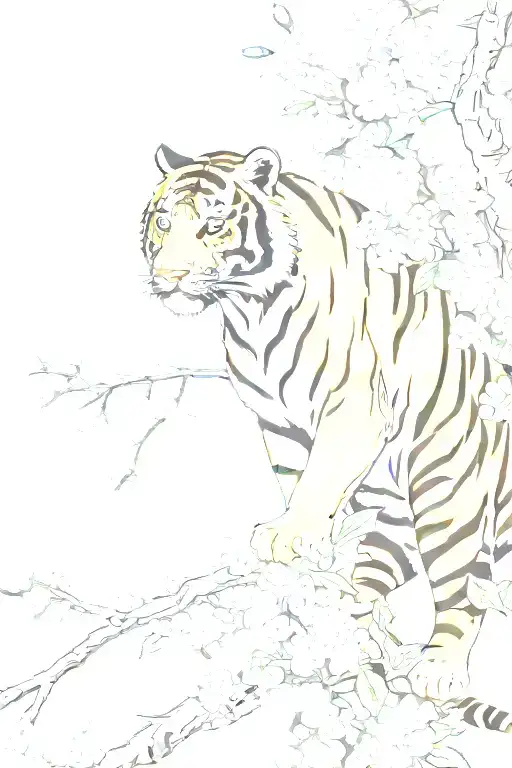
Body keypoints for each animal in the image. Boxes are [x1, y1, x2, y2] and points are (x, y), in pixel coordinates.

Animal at [140, 143, 512, 733]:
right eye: (163, 221)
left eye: (213, 226)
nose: (169, 276)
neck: (249, 311)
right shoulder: (279, 421)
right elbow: (299, 479)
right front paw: (303, 552)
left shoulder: (354, 404)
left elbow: (322, 476)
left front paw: (288, 535)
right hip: (394, 512)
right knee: (377, 571)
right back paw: (348, 630)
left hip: (445, 486)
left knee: (462, 586)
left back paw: (438, 670)